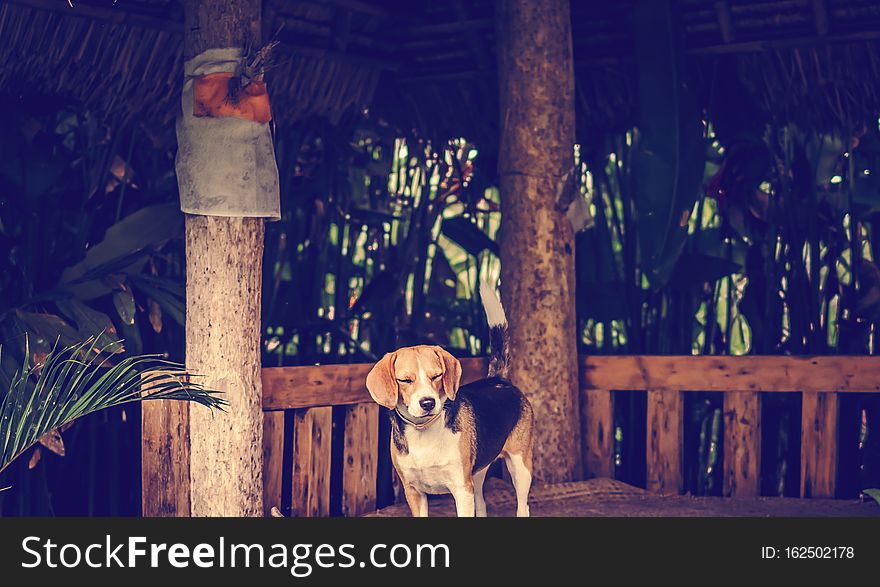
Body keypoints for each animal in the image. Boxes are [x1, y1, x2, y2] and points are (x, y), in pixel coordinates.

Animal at [366, 282, 532, 516]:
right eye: (405, 380)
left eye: (436, 376)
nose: (428, 403)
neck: (423, 431)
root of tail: (498, 379)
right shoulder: (414, 492)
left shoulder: (461, 490)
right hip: (477, 475)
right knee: (481, 504)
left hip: (520, 467)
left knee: (523, 506)